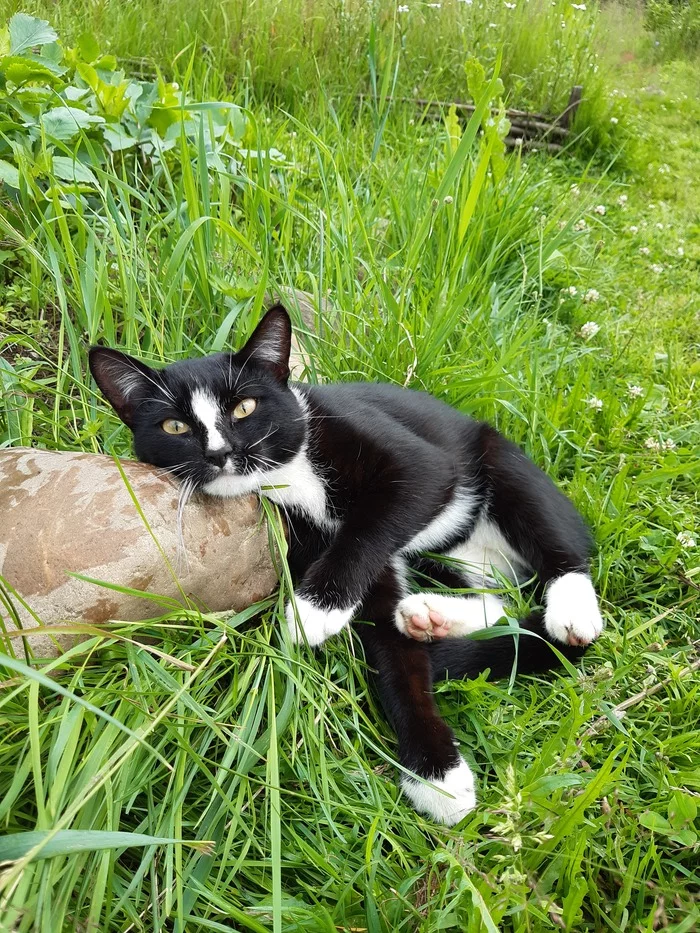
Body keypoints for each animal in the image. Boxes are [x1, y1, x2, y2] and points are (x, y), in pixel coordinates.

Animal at [89, 304, 600, 824]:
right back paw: (432, 616)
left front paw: (314, 610)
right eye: (175, 427)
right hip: (454, 562)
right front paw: (435, 774)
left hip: (502, 461)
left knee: (555, 548)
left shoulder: (402, 456)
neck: (287, 475)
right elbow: (391, 649)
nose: (221, 453)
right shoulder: (298, 531)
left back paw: (570, 611)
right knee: (497, 600)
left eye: (244, 408)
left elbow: (376, 520)